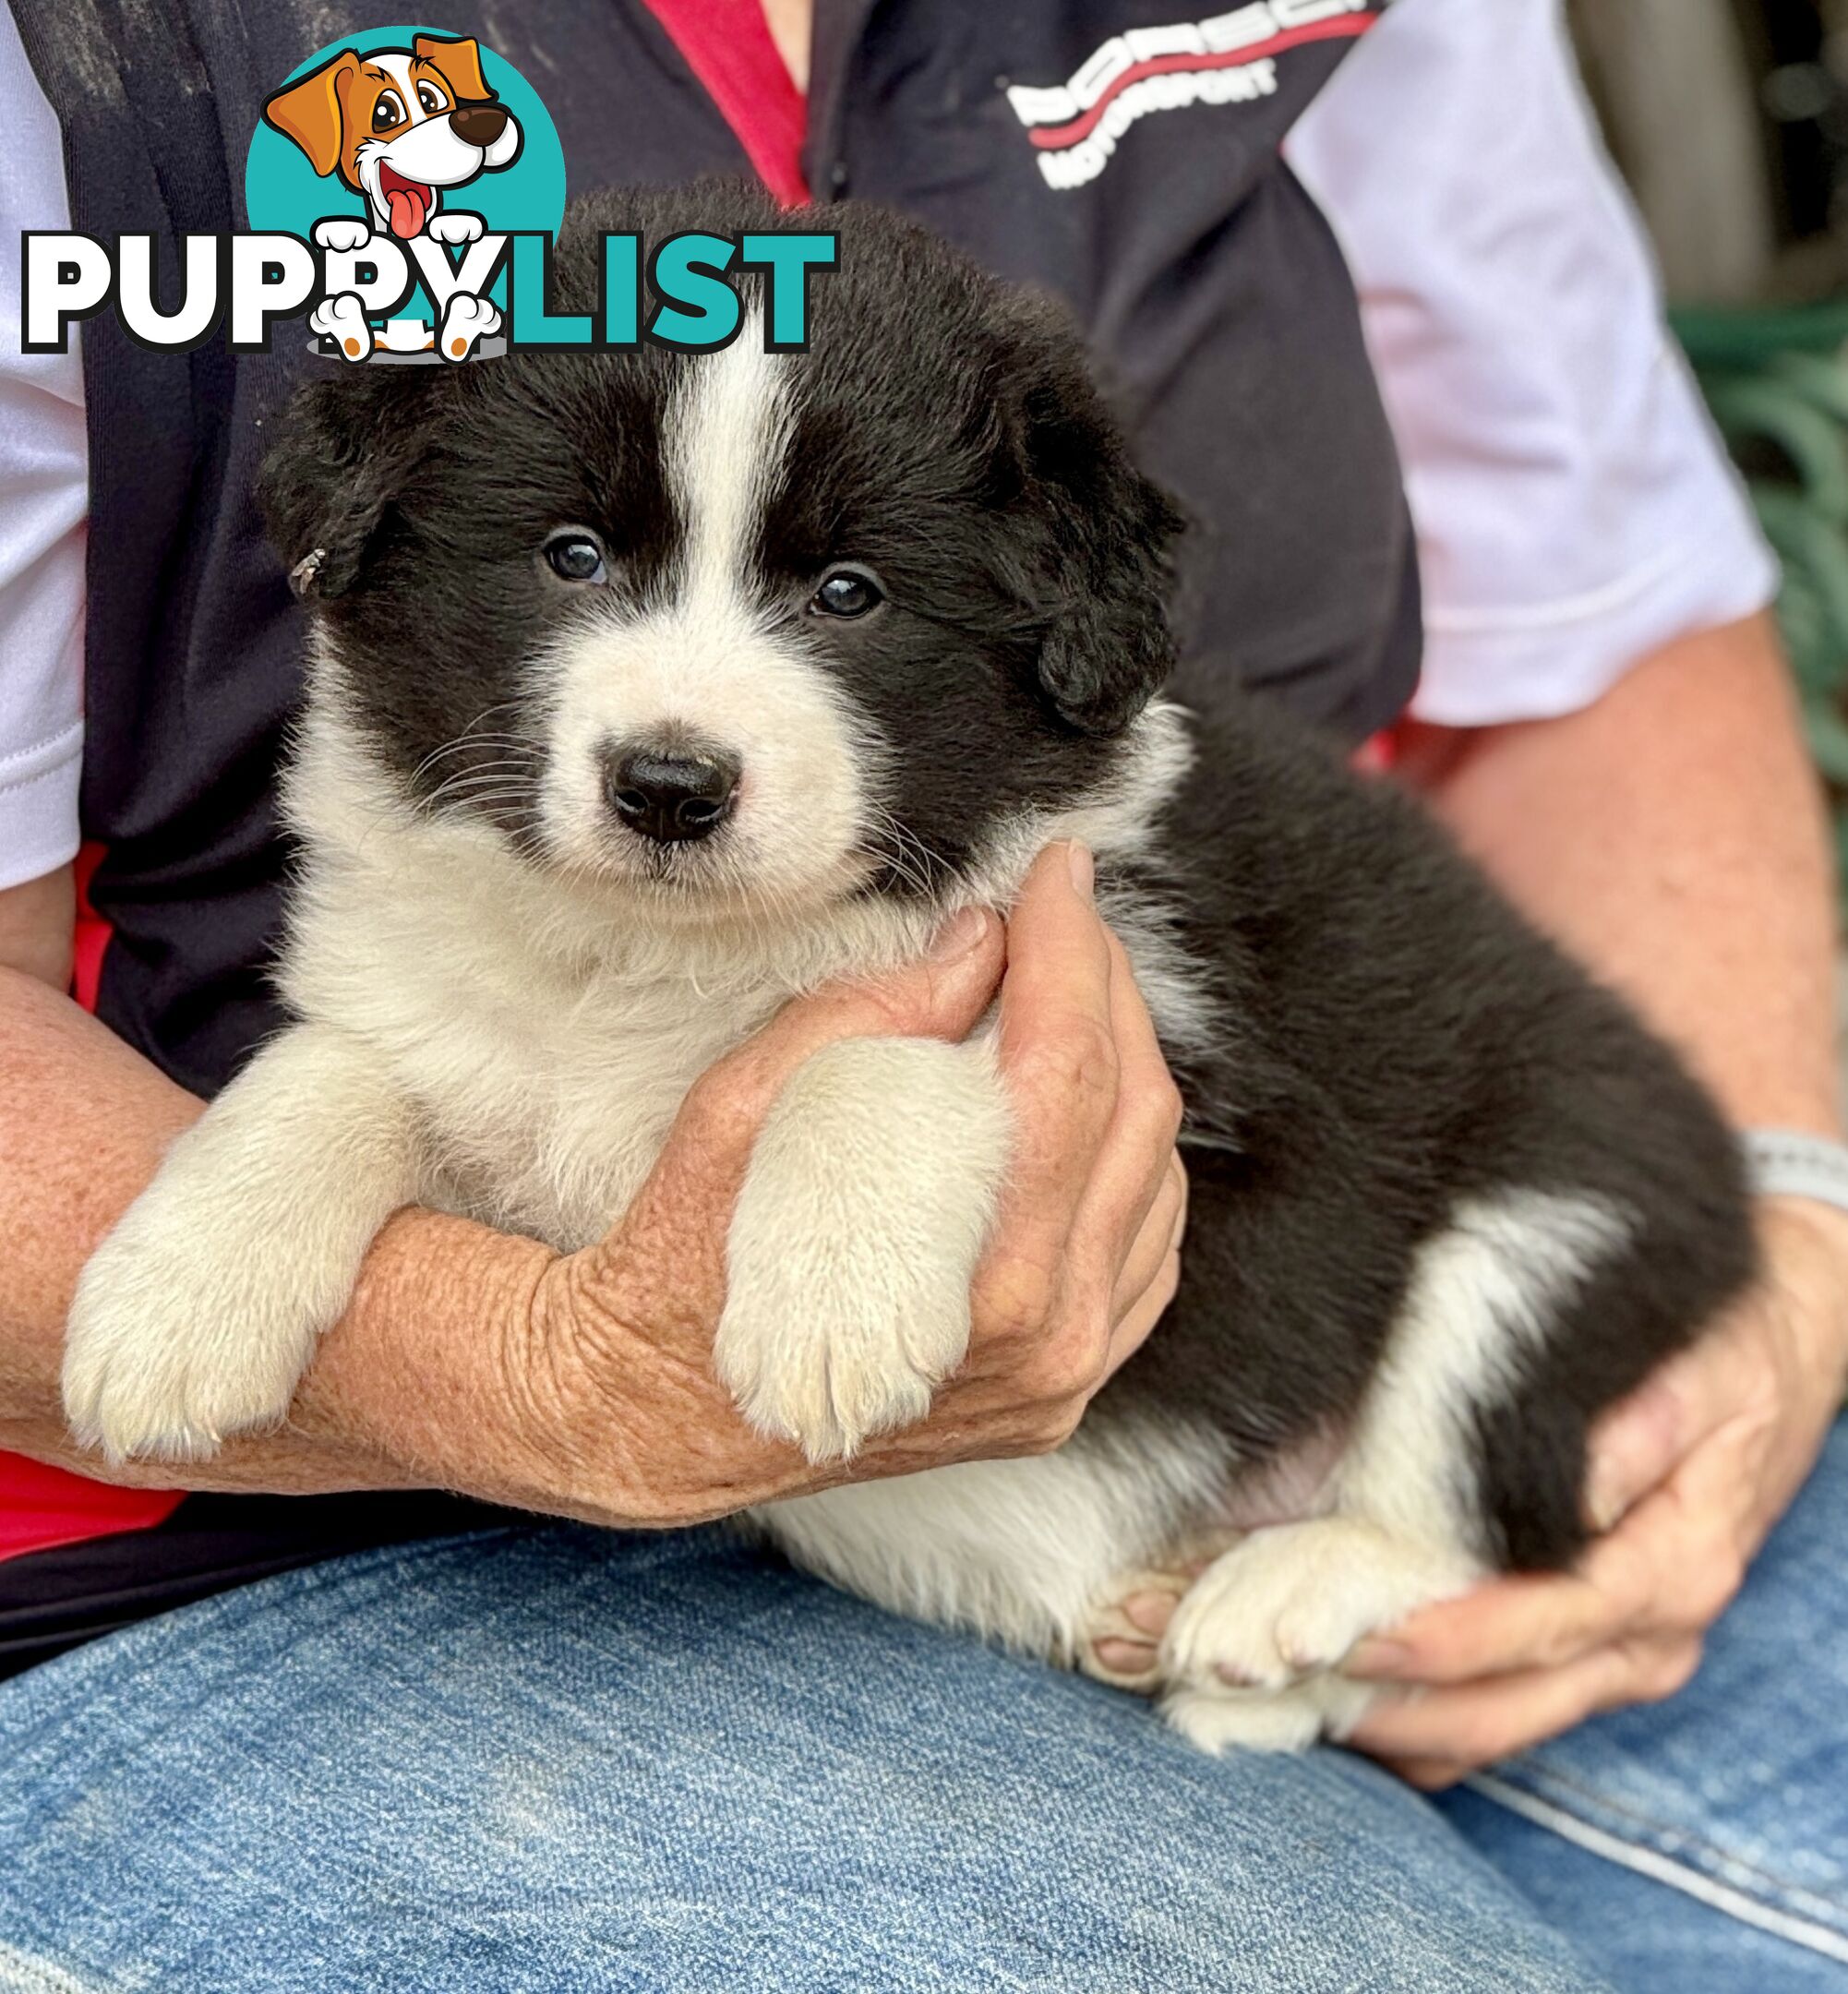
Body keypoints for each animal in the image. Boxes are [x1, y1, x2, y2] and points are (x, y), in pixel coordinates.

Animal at [61, 183, 1762, 1747]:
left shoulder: (1127, 991)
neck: (652, 958)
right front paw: (170, 1305)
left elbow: (877, 1030)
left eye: (849, 595)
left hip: (1562, 1202)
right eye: (569, 556)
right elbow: (332, 1070)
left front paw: (831, 1297)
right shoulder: (436, 1011)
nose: (669, 786)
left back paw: (1278, 1592)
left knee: (1476, 1506)